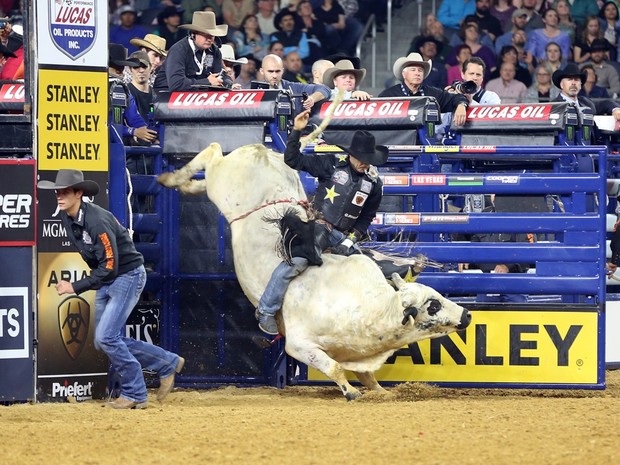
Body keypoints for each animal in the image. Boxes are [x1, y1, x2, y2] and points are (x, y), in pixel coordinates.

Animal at [159, 141, 470, 398]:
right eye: (433, 305)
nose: (466, 314)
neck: (368, 312)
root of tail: (263, 151)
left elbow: (366, 374)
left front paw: (381, 392)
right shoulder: (299, 345)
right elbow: (333, 367)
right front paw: (350, 392)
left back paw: (186, 185)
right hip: (222, 180)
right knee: (212, 151)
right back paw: (171, 178)